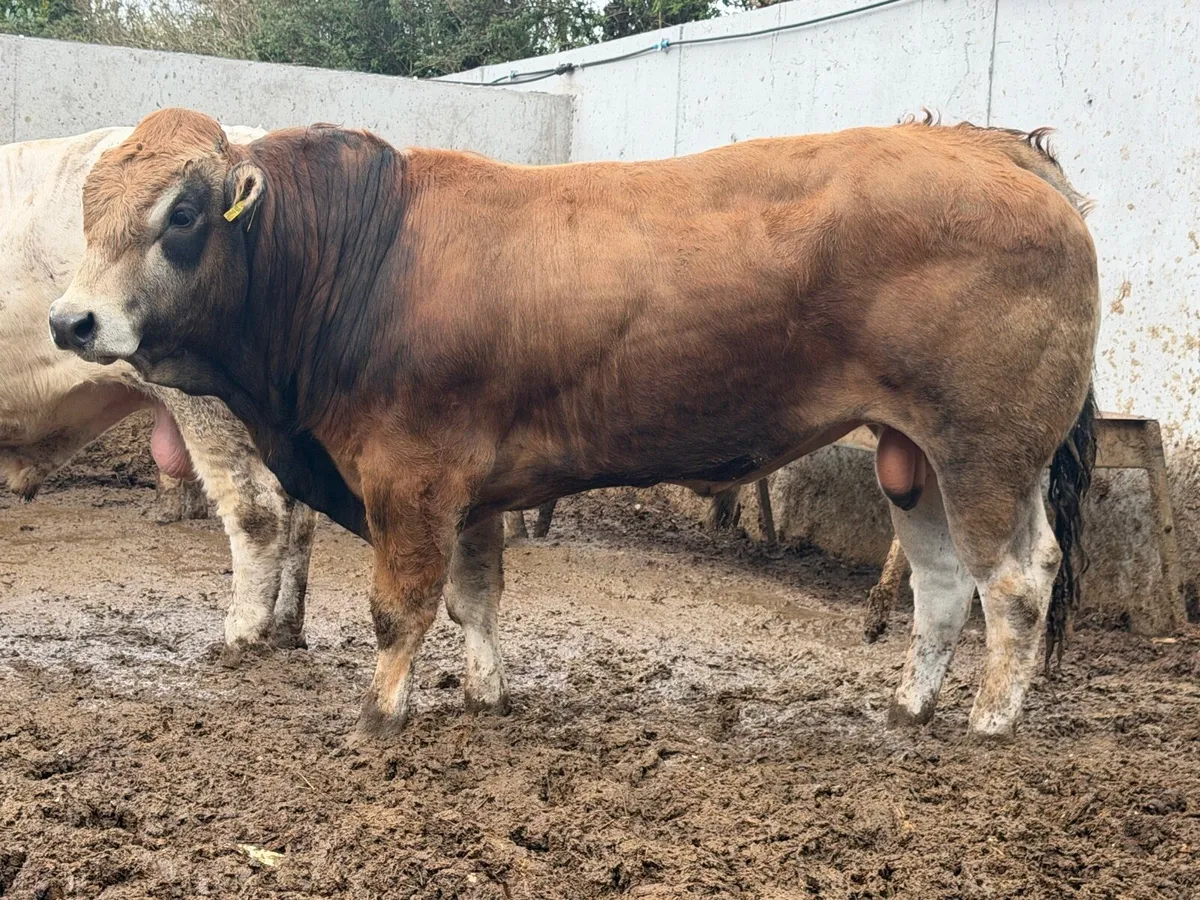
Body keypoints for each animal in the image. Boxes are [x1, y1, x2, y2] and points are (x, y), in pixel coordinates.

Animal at [50, 109, 1099, 742]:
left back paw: (991, 721)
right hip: (910, 454)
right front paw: (485, 693)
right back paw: (910, 705)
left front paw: (380, 715)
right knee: (942, 582)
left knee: (1015, 579)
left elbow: (401, 606)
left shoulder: (409, 477)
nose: (71, 321)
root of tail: (992, 147)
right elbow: (474, 601)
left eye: (182, 213)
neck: (364, 255)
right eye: (89, 213)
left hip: (987, 450)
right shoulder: (469, 492)